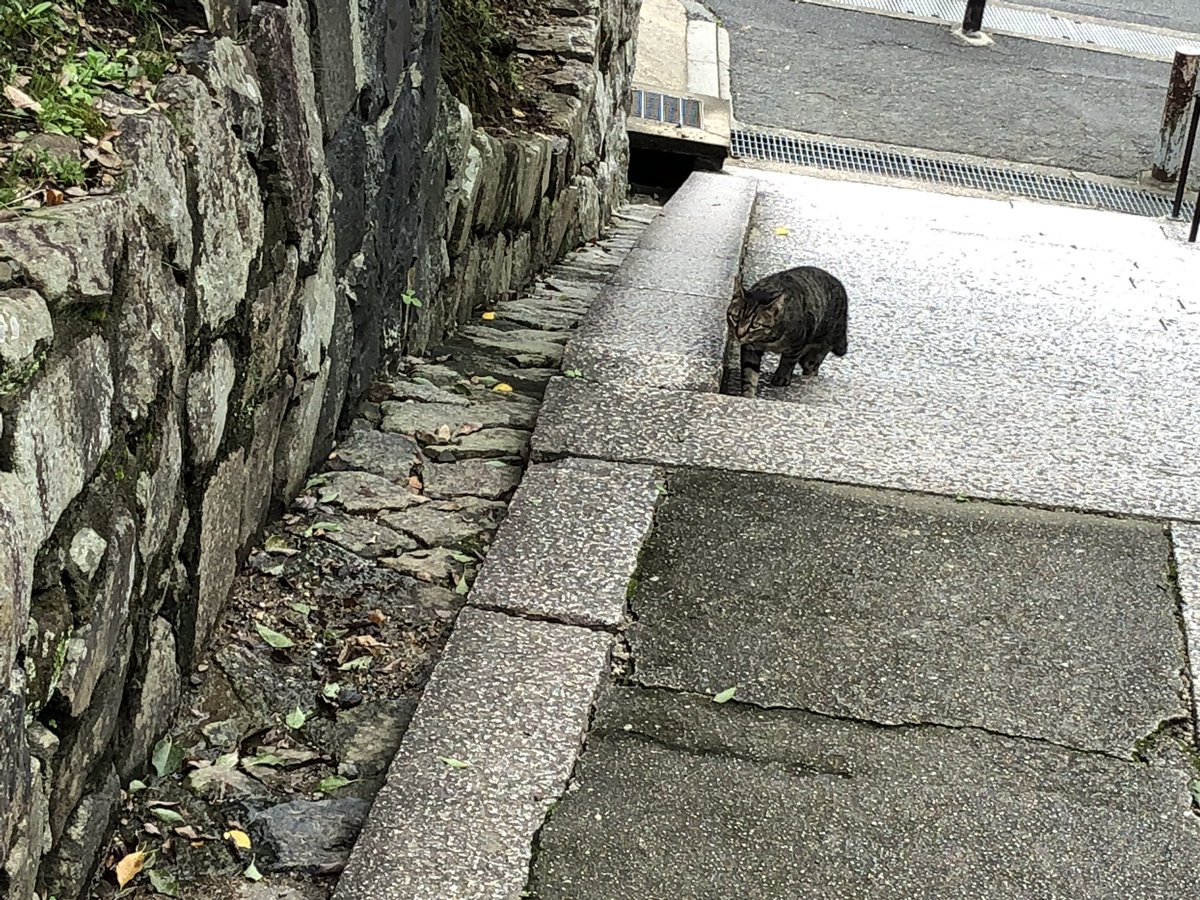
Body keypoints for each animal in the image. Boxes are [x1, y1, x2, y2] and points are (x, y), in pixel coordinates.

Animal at [727, 265, 848, 398]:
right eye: (735, 318)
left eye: (755, 325)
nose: (739, 334)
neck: (767, 339)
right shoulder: (750, 348)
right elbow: (749, 372)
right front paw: (748, 394)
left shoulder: (798, 342)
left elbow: (788, 361)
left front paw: (781, 376)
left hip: (824, 340)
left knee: (814, 362)